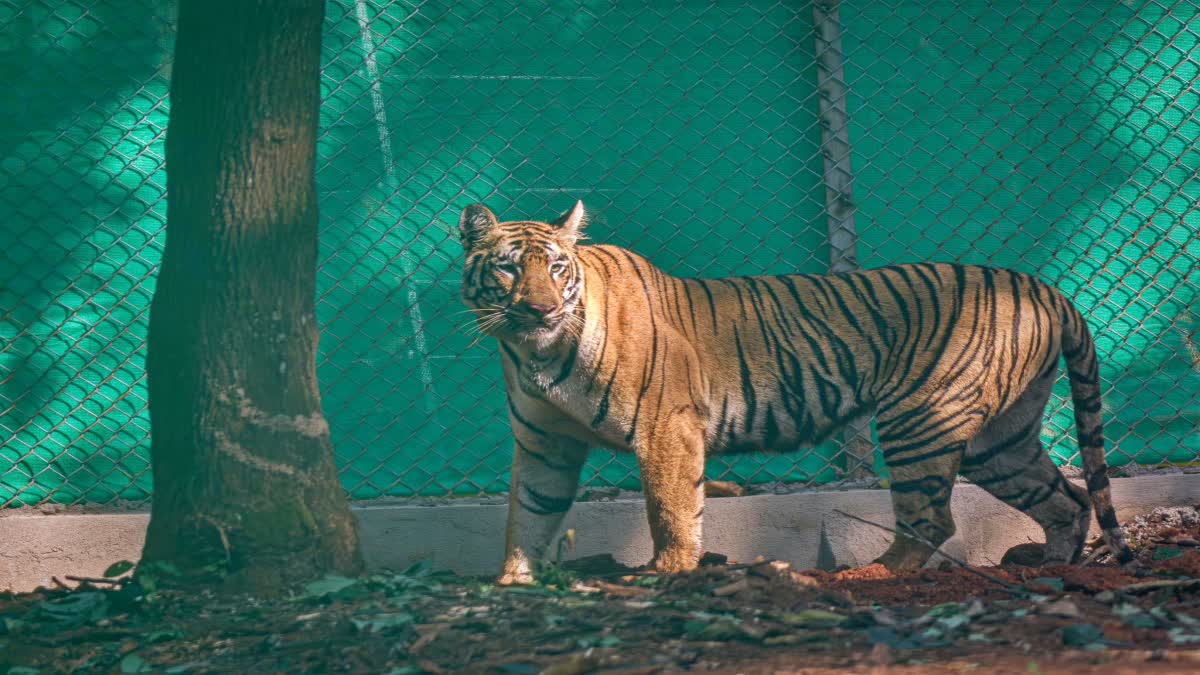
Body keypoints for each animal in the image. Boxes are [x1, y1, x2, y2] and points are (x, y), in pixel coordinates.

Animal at [456, 200, 1134, 585]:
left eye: (557, 269)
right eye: (509, 267)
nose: (541, 309)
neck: (536, 353)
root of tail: (1045, 286)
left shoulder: (665, 426)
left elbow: (670, 510)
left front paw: (666, 574)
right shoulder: (544, 446)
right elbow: (528, 514)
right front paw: (512, 583)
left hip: (923, 419)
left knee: (932, 517)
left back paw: (872, 575)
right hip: (1001, 439)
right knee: (1067, 499)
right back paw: (1053, 565)